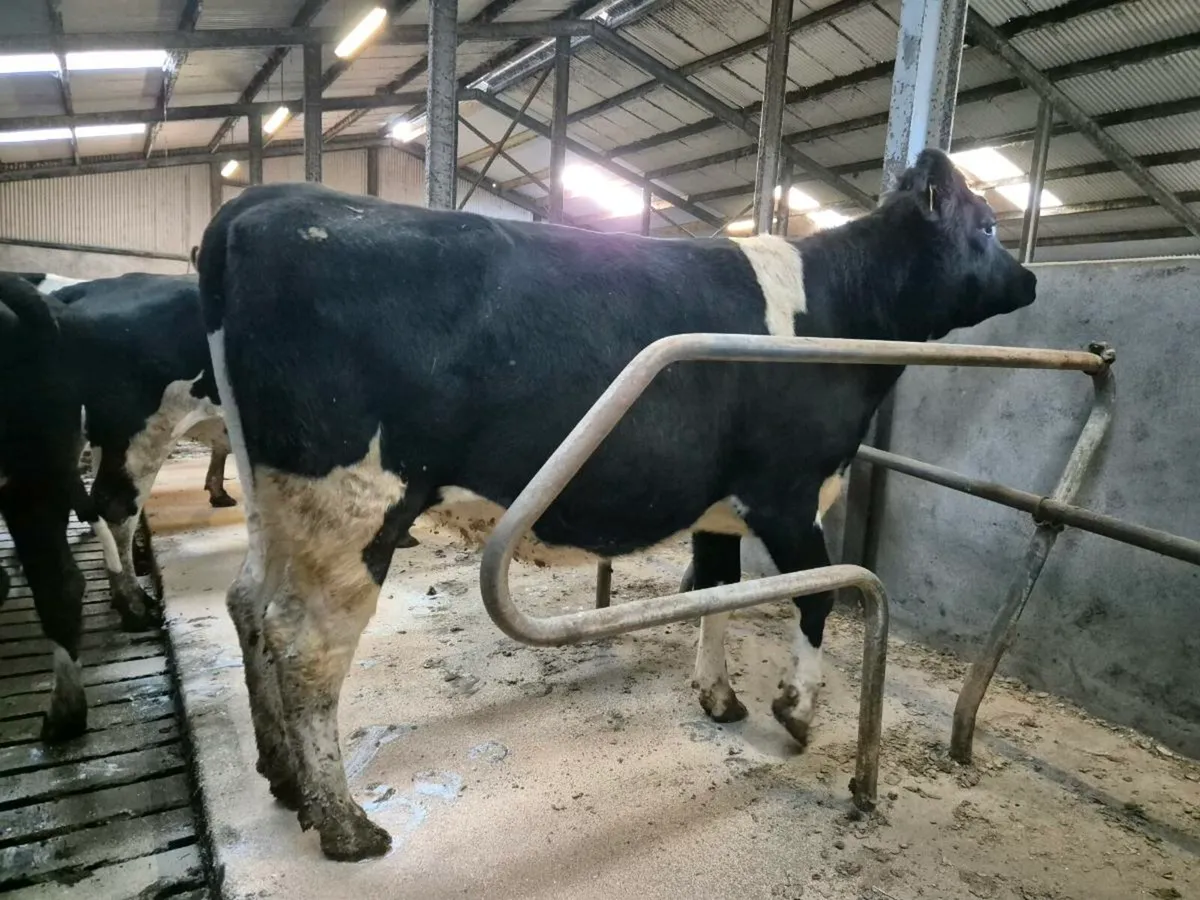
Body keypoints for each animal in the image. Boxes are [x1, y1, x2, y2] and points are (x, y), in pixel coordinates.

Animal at [196, 148, 1036, 860]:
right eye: (989, 225)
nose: (1031, 280)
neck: (837, 310)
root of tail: (265, 203)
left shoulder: (718, 507)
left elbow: (720, 592)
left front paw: (719, 696)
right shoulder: (789, 490)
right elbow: (817, 598)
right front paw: (796, 709)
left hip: (278, 501)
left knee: (247, 604)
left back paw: (282, 777)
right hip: (353, 502)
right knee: (304, 644)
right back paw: (344, 823)